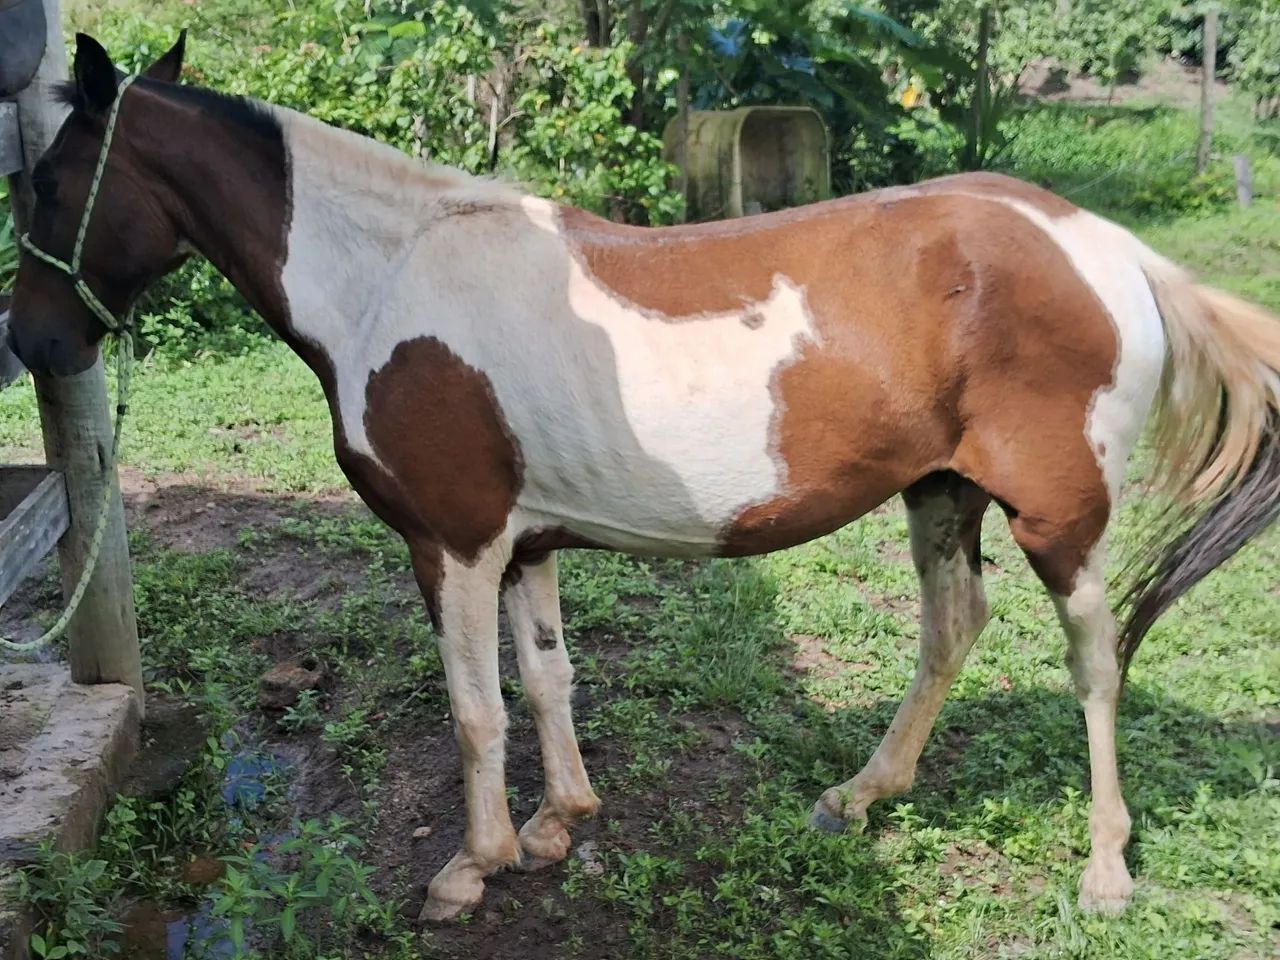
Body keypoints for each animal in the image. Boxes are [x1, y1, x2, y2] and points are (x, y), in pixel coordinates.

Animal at [9, 34, 1279, 923]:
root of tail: (1107, 247)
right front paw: (558, 824)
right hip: (939, 490)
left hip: (1057, 516)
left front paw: (471, 868)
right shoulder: (520, 544)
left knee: (1095, 661)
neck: (390, 274)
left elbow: (474, 711)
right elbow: (544, 682)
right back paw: (858, 796)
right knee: (952, 627)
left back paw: (1105, 869)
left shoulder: (450, 544)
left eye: (46, 186)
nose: (35, 341)